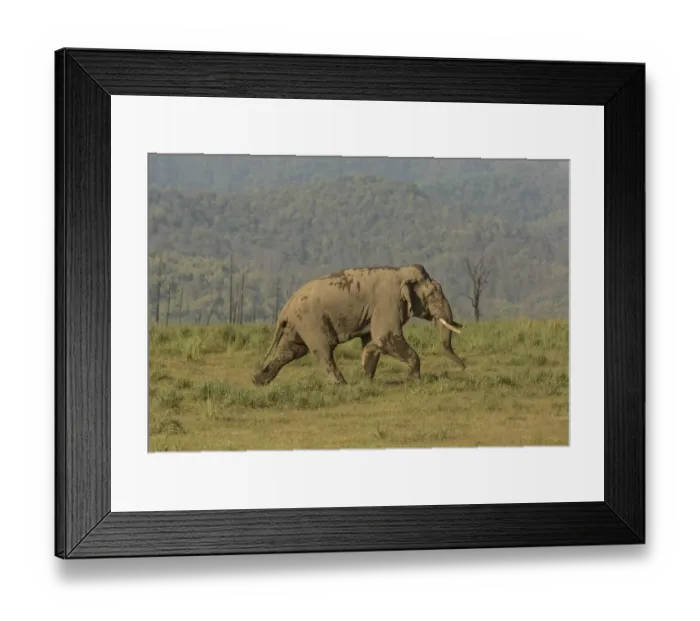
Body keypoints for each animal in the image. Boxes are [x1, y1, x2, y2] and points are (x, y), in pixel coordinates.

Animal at [251, 264, 465, 386]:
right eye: (434, 294)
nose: (464, 366)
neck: (401, 271)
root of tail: (285, 309)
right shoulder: (387, 301)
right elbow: (384, 337)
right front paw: (413, 381)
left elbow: (372, 343)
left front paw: (366, 382)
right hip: (309, 322)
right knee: (322, 350)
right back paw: (341, 385)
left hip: (296, 325)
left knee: (290, 351)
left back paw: (258, 381)